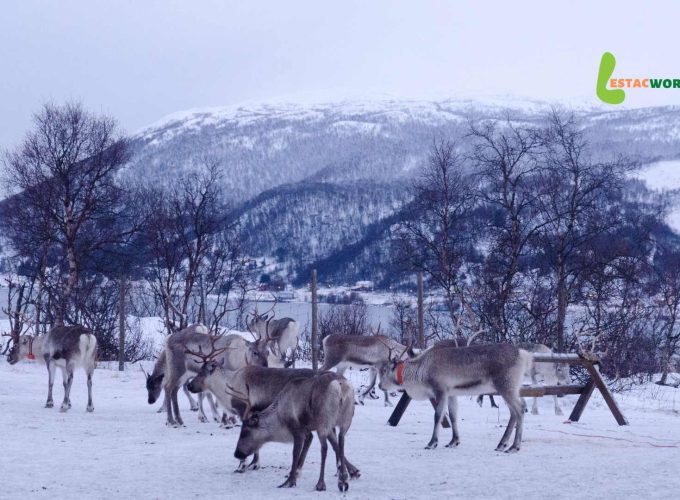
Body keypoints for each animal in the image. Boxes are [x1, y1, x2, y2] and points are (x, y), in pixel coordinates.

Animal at [379, 342, 533, 452]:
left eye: (385, 370)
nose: (380, 386)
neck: (420, 371)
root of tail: (523, 354)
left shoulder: (440, 390)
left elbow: (437, 416)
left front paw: (432, 443)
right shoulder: (452, 393)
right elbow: (453, 416)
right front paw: (454, 441)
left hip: (506, 386)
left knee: (520, 409)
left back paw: (514, 446)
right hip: (510, 388)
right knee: (515, 411)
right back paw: (502, 444)